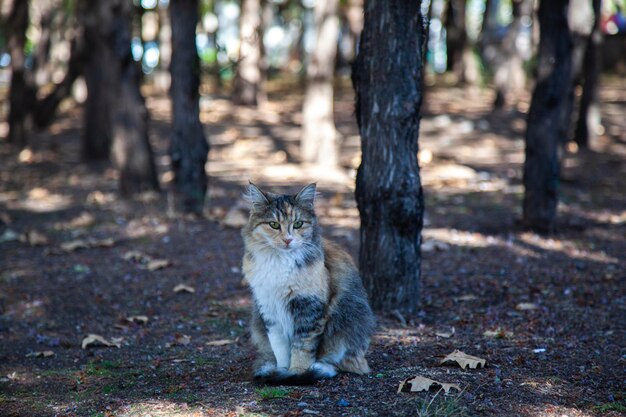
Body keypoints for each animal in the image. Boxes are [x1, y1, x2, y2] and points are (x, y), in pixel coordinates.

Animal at [241, 182, 372, 384]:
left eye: (298, 224)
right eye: (274, 225)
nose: (288, 240)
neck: (280, 262)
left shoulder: (309, 308)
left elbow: (302, 347)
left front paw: (297, 372)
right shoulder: (269, 310)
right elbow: (280, 349)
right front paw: (282, 371)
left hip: (347, 320)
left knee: (342, 362)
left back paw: (321, 368)